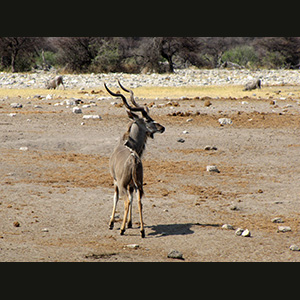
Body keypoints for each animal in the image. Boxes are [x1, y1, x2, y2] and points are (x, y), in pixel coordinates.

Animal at [102, 81, 164, 237]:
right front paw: (130, 223)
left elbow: (115, 198)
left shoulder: (116, 181)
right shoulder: (132, 185)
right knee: (139, 201)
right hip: (139, 184)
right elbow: (133, 197)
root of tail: (134, 159)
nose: (162, 127)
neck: (126, 144)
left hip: (123, 184)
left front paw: (112, 223)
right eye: (148, 120)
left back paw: (122, 230)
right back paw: (141, 230)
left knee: (126, 201)